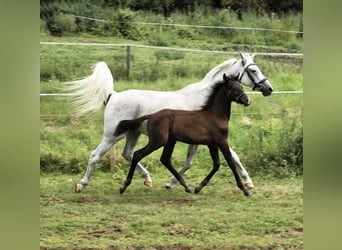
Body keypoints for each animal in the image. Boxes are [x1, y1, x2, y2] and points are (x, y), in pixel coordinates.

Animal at [67, 51, 272, 192]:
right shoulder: (204, 139)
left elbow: (198, 161)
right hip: (112, 135)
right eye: (253, 70)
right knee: (96, 155)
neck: (205, 101)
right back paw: (81, 185)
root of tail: (112, 95)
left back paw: (147, 179)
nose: (269, 89)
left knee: (128, 153)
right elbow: (216, 158)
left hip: (133, 133)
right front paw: (248, 182)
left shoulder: (201, 140)